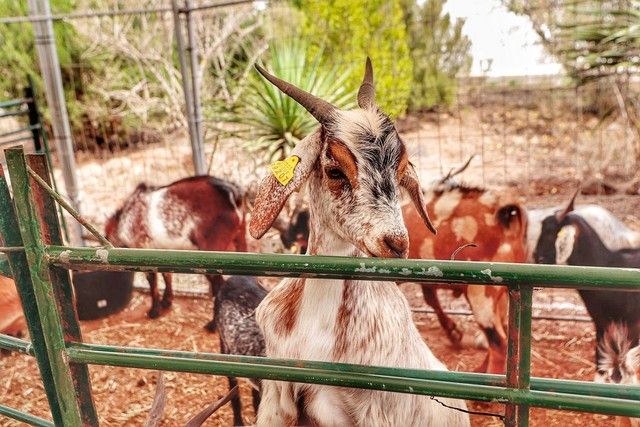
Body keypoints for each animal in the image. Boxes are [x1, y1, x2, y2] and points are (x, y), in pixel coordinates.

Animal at [402, 181, 528, 374]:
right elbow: (430, 298)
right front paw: (454, 332)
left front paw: (454, 333)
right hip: (502, 295)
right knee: (504, 332)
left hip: (481, 294)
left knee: (498, 342)